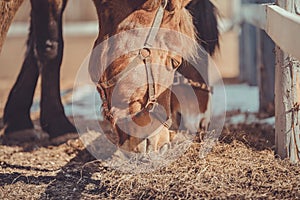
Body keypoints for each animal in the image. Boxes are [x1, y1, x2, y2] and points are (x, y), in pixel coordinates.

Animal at [2, 0, 218, 153]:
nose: (200, 123)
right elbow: (50, 45)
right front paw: (58, 123)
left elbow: (37, 43)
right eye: (176, 62)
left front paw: (19, 120)